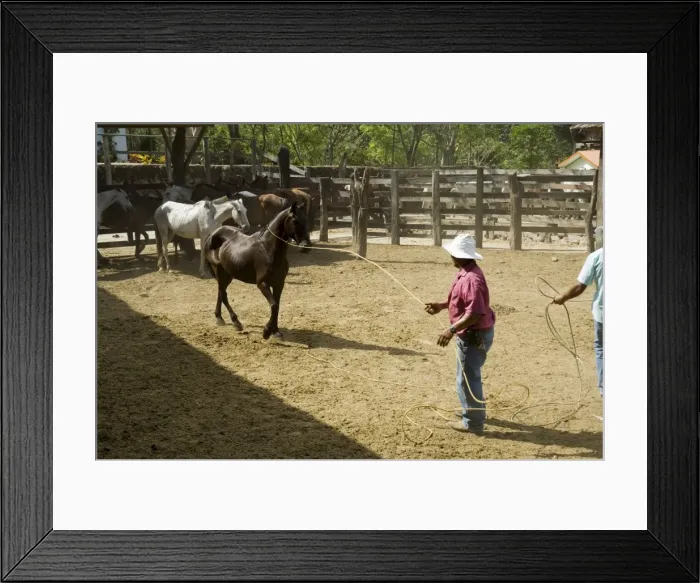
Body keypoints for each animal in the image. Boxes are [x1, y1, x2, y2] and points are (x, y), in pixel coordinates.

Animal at [202, 201, 311, 340]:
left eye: (306, 219)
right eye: (295, 220)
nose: (306, 247)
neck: (268, 249)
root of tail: (212, 234)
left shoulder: (279, 284)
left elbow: (277, 306)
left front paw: (275, 332)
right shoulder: (262, 284)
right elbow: (274, 305)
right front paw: (266, 331)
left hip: (227, 274)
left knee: (221, 293)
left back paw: (219, 318)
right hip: (221, 273)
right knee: (223, 295)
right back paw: (236, 322)